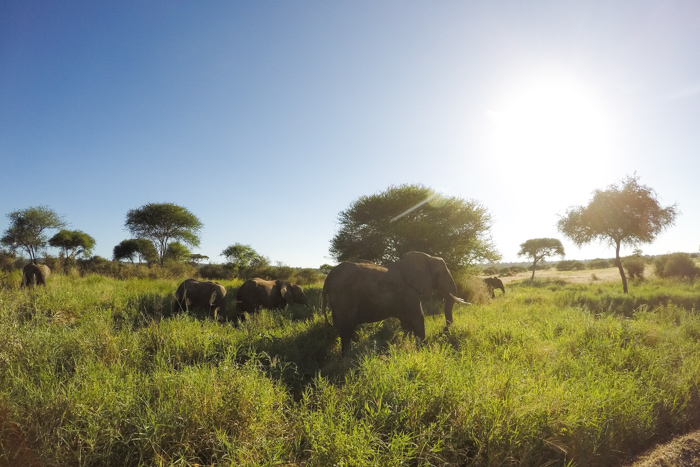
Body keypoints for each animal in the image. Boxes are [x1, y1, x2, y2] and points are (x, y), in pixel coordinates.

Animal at [322, 252, 470, 354]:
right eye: (441, 273)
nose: (444, 330)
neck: (427, 257)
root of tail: (329, 276)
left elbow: (406, 322)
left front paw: (406, 345)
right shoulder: (409, 291)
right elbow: (418, 317)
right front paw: (422, 349)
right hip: (344, 298)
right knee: (346, 329)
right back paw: (347, 357)